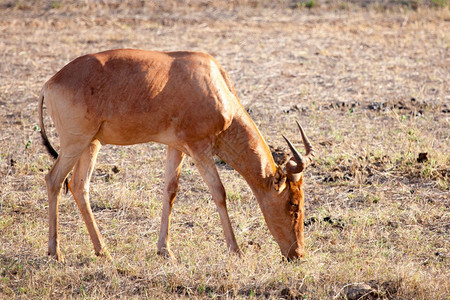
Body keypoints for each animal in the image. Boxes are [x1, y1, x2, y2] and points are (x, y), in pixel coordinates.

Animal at [38, 48, 314, 262]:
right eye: (293, 204)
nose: (297, 255)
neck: (213, 80)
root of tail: (51, 82)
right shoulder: (199, 146)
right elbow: (219, 192)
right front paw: (236, 251)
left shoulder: (177, 147)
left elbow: (170, 191)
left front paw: (165, 250)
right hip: (75, 142)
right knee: (53, 180)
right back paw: (55, 252)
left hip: (91, 143)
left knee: (78, 185)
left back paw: (102, 251)